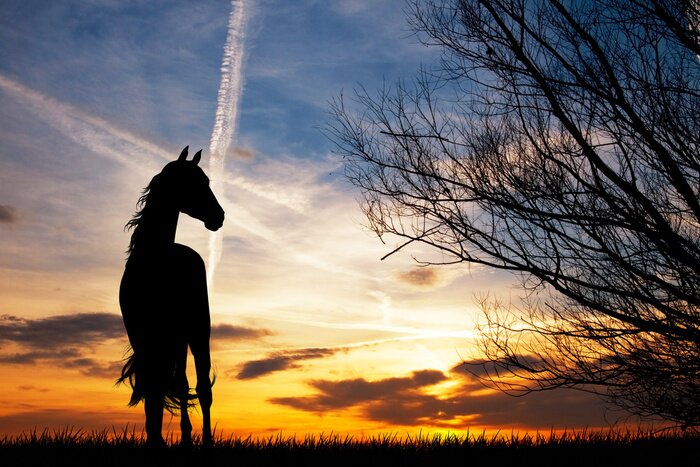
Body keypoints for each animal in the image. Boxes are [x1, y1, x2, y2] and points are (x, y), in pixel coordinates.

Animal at [118, 146, 224, 447]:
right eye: (193, 183)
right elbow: (154, 390)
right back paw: (185, 438)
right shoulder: (142, 338)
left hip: (196, 331)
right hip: (174, 341)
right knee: (180, 383)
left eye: (207, 182)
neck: (154, 261)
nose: (219, 216)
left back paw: (205, 441)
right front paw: (154, 438)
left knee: (202, 388)